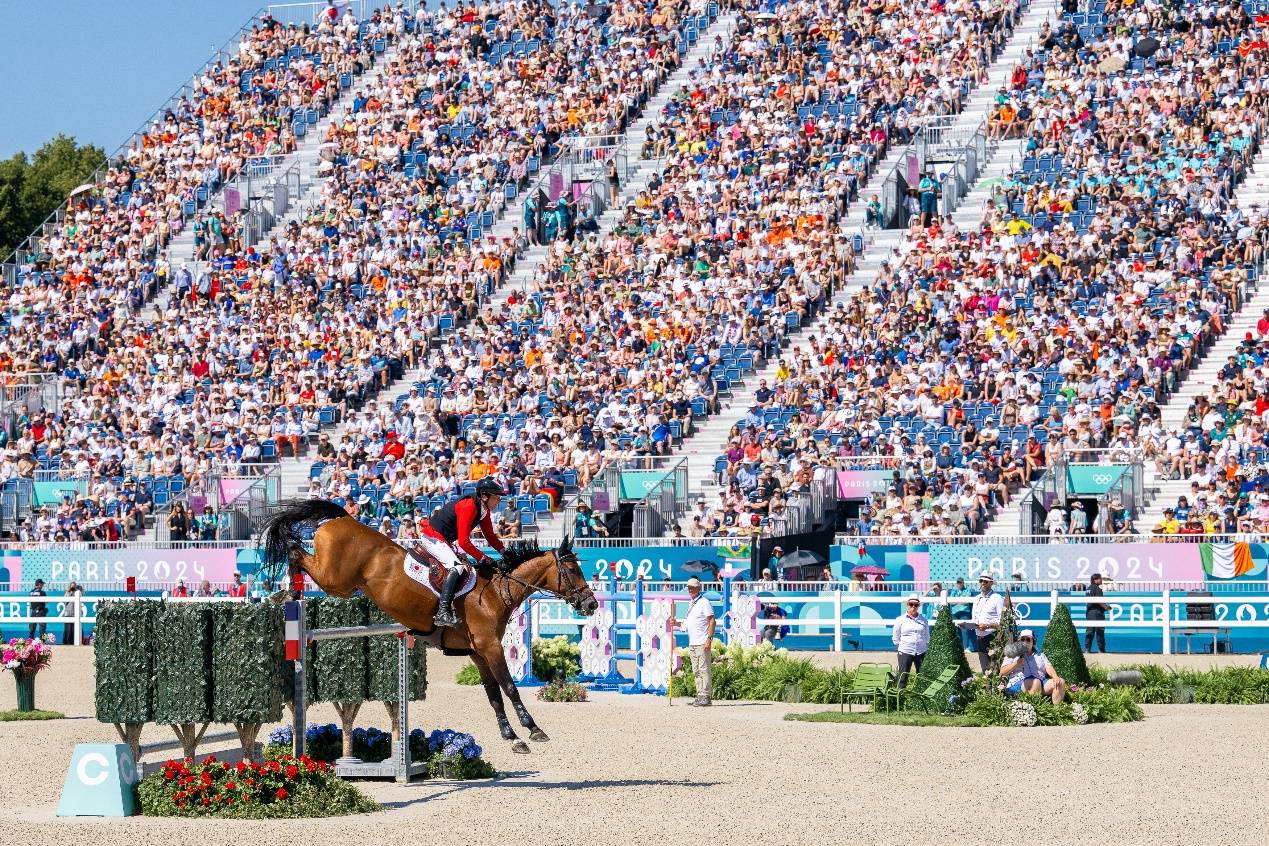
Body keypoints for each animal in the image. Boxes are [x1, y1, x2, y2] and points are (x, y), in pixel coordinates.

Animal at [258, 497, 598, 755]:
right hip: (336, 580)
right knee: (297, 553)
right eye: (571, 570)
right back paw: (286, 591)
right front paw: (533, 729)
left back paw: (286, 592)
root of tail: (343, 518)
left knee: (300, 555)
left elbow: (493, 694)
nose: (591, 604)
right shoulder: (490, 647)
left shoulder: (478, 653)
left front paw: (511, 736)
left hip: (339, 583)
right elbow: (510, 687)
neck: (495, 592)